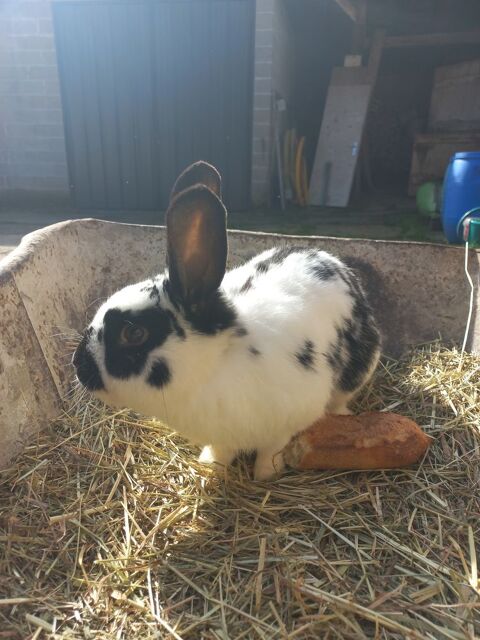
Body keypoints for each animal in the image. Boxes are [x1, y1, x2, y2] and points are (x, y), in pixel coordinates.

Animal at [73, 161, 381, 480]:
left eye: (133, 333)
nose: (78, 367)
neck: (213, 366)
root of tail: (330, 258)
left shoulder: (288, 420)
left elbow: (272, 450)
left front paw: (265, 475)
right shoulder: (221, 435)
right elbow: (221, 450)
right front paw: (211, 467)